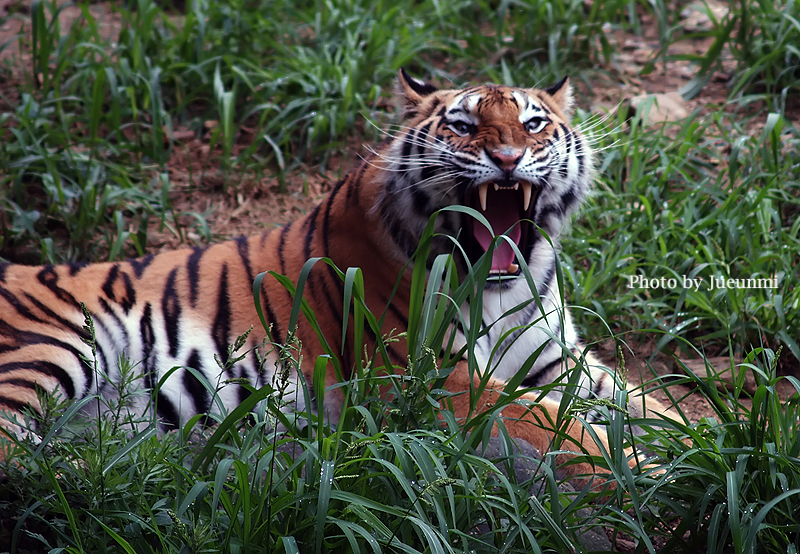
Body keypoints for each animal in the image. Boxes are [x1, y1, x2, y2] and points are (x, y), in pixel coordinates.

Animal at [0, 70, 668, 478]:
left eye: (533, 124)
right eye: (462, 125)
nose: (508, 158)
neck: (497, 285)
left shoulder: (559, 358)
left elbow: (651, 406)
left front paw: (688, 450)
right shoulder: (426, 375)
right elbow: (562, 425)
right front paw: (643, 472)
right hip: (50, 345)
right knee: (14, 450)